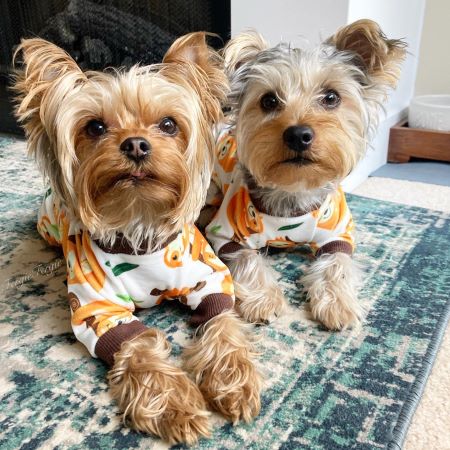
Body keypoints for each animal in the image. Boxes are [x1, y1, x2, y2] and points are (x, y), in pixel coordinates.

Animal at [13, 33, 260, 444]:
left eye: (168, 124)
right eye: (95, 127)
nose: (136, 144)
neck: (139, 221)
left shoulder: (208, 277)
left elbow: (222, 324)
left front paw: (234, 384)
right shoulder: (99, 309)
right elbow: (139, 348)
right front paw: (176, 407)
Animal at [206, 20, 406, 330]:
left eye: (331, 97)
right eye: (269, 100)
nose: (298, 134)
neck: (293, 189)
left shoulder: (338, 233)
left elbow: (337, 265)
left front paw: (338, 305)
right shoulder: (228, 234)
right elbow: (249, 260)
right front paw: (264, 300)